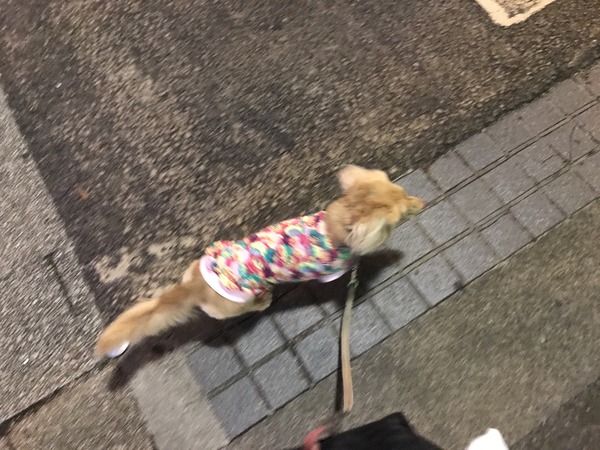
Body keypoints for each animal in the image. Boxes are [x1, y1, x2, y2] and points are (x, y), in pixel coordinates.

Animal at [95, 165, 425, 357]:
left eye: (403, 191)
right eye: (398, 216)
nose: (420, 203)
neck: (334, 228)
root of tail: (196, 286)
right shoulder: (331, 272)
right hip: (241, 301)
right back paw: (264, 300)